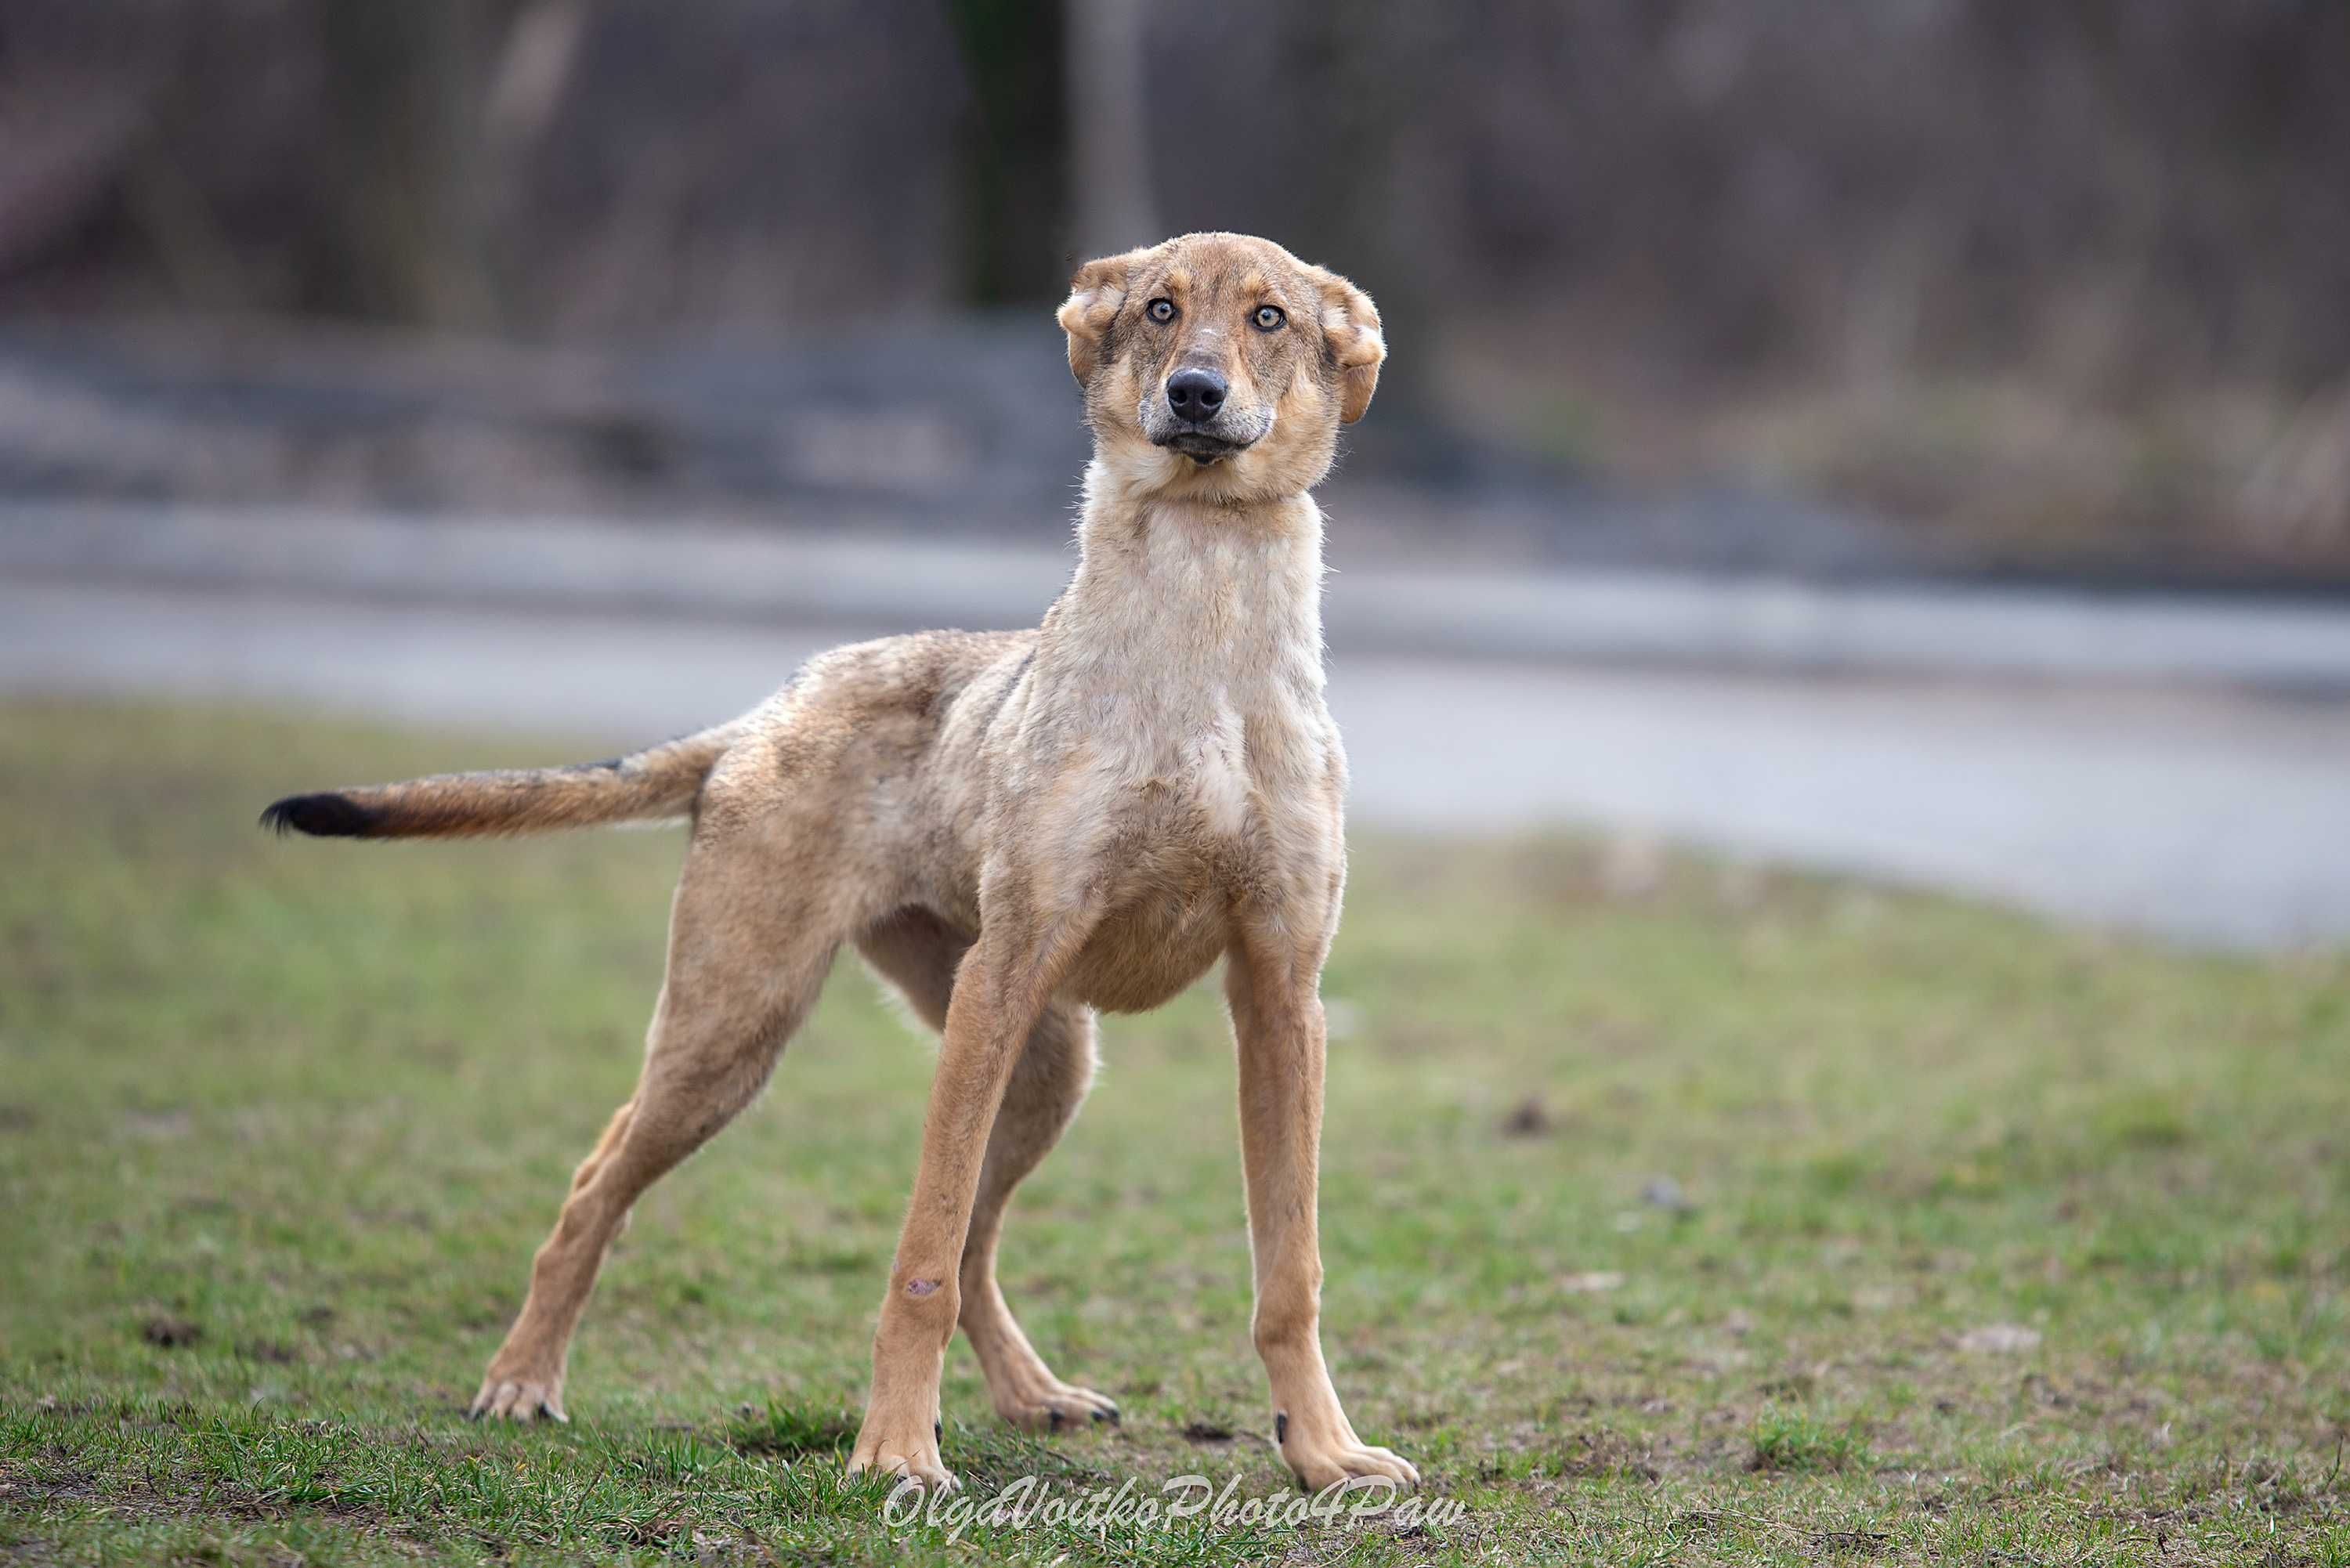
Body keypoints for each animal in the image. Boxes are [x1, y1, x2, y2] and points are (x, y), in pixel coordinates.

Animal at [270, 230, 1410, 1494]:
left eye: (1267, 318)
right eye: (1160, 310)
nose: (1196, 394)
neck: (1204, 629)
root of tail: (768, 711)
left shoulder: (1281, 993)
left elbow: (1289, 1272)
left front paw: (1325, 1451)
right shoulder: (1009, 976)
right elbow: (916, 1259)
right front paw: (895, 1452)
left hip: (1045, 1064)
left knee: (977, 1245)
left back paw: (1034, 1394)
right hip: (744, 1031)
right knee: (602, 1186)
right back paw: (522, 1381)